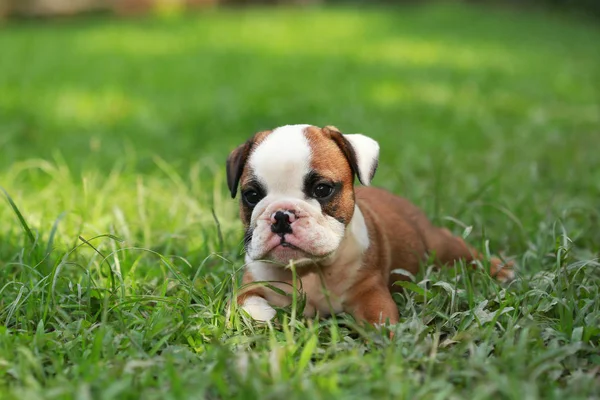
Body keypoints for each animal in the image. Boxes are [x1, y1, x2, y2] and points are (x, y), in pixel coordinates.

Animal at [225, 123, 510, 326]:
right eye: (251, 195)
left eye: (322, 189)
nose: (282, 215)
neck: (312, 269)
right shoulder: (250, 283)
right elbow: (242, 303)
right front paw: (264, 316)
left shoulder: (370, 293)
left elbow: (379, 320)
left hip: (439, 245)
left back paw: (501, 269)